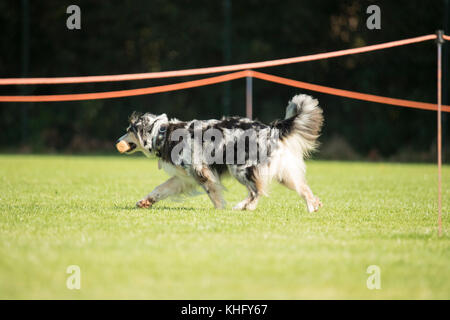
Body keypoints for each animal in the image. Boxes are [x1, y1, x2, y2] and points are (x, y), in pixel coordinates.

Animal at [116, 94, 324, 211]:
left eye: (128, 130)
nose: (117, 141)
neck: (162, 133)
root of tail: (270, 129)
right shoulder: (184, 178)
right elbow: (161, 189)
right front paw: (145, 202)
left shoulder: (201, 171)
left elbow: (213, 193)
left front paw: (219, 210)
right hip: (283, 172)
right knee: (302, 188)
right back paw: (313, 206)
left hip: (240, 167)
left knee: (257, 191)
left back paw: (243, 206)